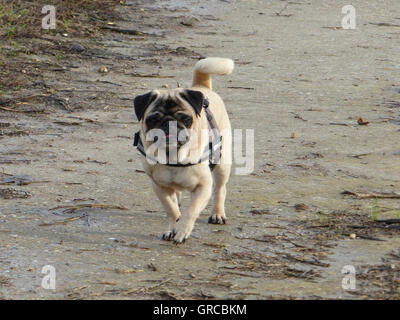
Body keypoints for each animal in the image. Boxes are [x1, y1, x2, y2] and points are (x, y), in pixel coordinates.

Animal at [134, 57, 234, 244]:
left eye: (186, 119)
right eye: (153, 120)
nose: (169, 123)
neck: (173, 155)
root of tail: (201, 86)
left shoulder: (203, 187)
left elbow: (191, 211)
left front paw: (182, 231)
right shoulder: (159, 187)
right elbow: (171, 209)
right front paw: (173, 227)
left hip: (222, 164)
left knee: (220, 189)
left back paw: (217, 214)